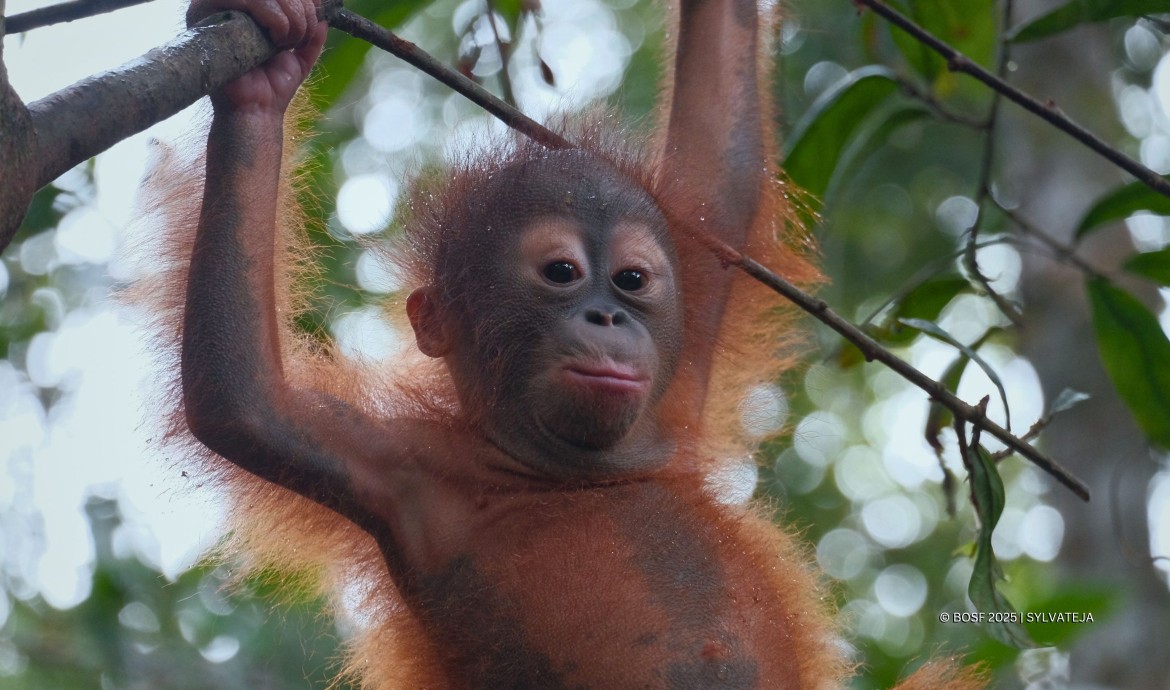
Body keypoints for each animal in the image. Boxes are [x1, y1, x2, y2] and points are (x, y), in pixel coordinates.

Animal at [128, 0, 986, 686]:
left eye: (633, 280)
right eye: (562, 274)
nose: (607, 318)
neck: (574, 473)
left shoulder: (678, 363)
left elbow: (726, 155)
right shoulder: (398, 473)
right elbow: (243, 401)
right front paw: (258, 90)